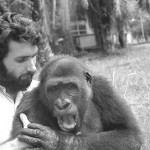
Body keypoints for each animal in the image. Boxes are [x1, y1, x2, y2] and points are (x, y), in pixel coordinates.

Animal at [11, 55, 142, 150]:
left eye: (70, 86)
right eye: (53, 89)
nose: (62, 104)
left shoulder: (103, 88)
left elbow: (128, 133)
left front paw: (58, 140)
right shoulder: (29, 103)